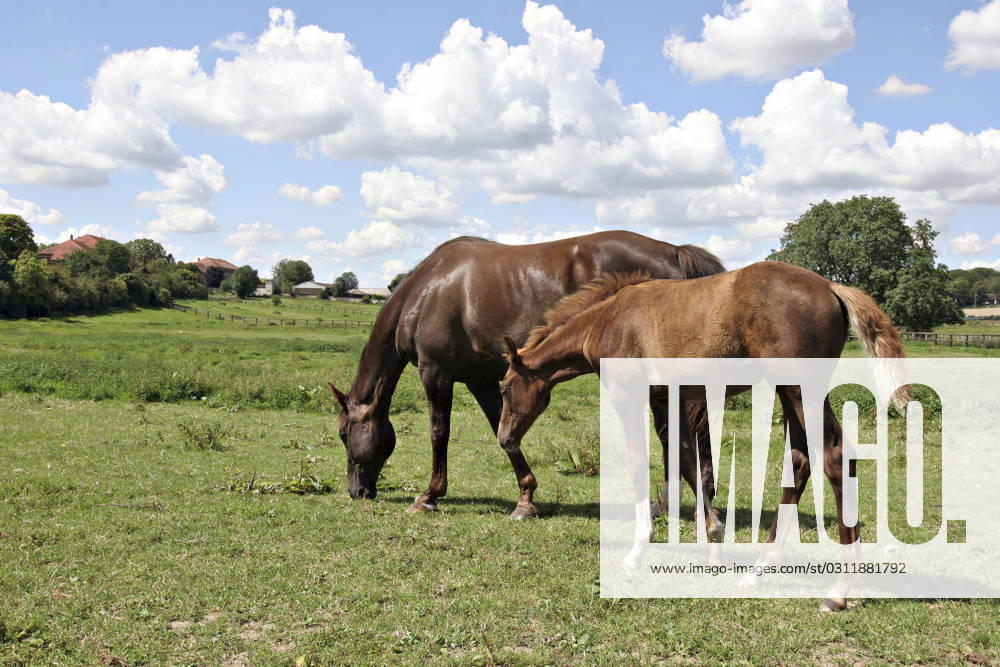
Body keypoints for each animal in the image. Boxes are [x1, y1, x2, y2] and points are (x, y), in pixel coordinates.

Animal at [328, 231, 725, 515]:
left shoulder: (435, 373)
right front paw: (526, 496)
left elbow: (439, 433)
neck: (425, 294)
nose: (357, 491)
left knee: (676, 432)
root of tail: (674, 251)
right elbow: (502, 431)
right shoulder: (483, 379)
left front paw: (429, 496)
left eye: (345, 434)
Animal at [497, 262, 908, 611]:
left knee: (836, 456)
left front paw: (638, 550)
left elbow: (640, 464)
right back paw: (758, 572)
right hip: (788, 390)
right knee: (800, 460)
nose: (504, 438)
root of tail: (830, 286)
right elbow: (685, 460)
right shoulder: (670, 397)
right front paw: (713, 539)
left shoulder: (628, 395)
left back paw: (838, 592)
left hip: (799, 386)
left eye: (503, 388)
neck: (607, 318)